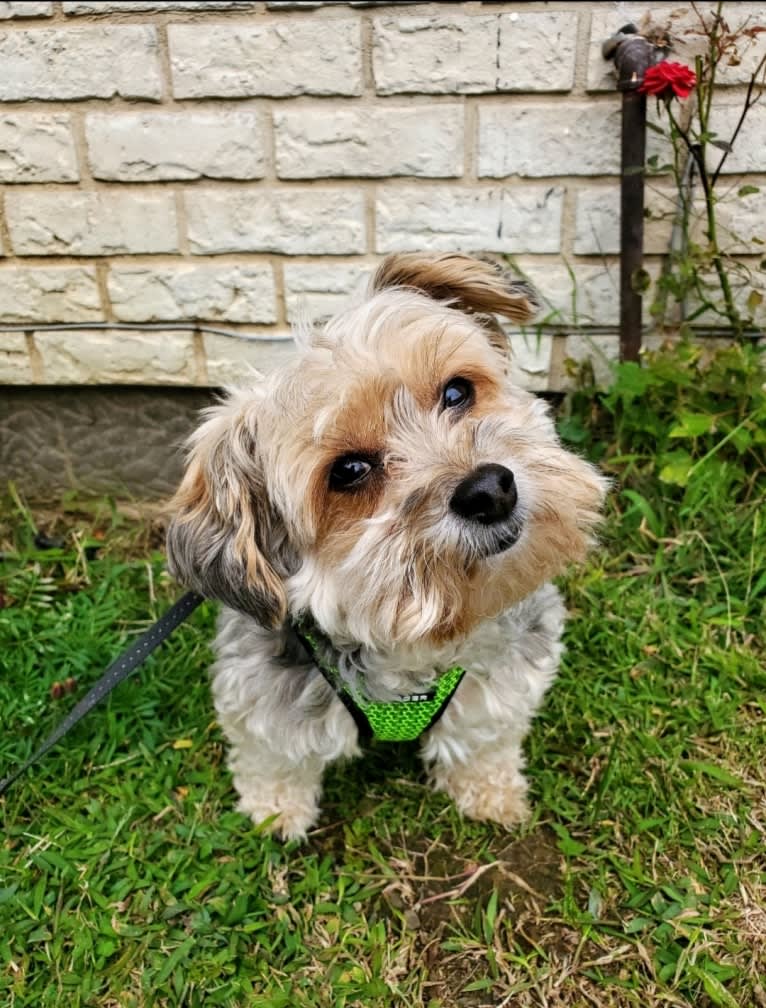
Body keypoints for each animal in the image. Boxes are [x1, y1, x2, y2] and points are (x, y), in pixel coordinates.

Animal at [166, 254, 604, 842]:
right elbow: (274, 758)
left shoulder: (501, 684)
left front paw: (490, 792)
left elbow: (484, 738)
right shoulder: (264, 696)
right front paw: (277, 812)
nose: (489, 490)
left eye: (457, 392)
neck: (411, 640)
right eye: (349, 471)